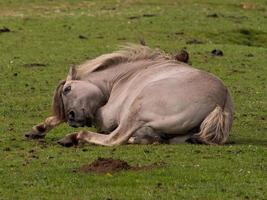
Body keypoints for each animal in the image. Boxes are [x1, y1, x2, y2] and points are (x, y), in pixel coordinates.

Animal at [25, 44, 234, 147]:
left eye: (68, 89)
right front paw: (39, 129)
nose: (71, 117)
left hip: (137, 108)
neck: (122, 77)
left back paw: (73, 137)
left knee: (114, 139)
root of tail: (220, 103)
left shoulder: (105, 115)